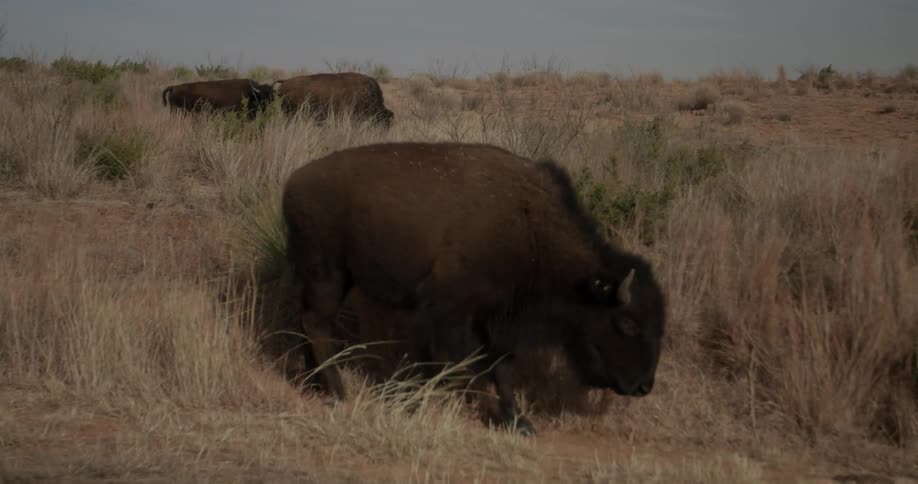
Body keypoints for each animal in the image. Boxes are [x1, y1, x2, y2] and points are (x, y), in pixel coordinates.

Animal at [281, 142, 667, 436]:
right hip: (328, 273)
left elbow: (502, 366)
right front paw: (432, 405)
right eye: (627, 322)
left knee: (305, 321)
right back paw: (338, 392)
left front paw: (519, 423)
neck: (529, 225)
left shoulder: (495, 319)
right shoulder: (449, 310)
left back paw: (314, 383)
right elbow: (447, 361)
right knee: (316, 324)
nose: (644, 386)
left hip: (329, 277)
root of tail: (293, 183)